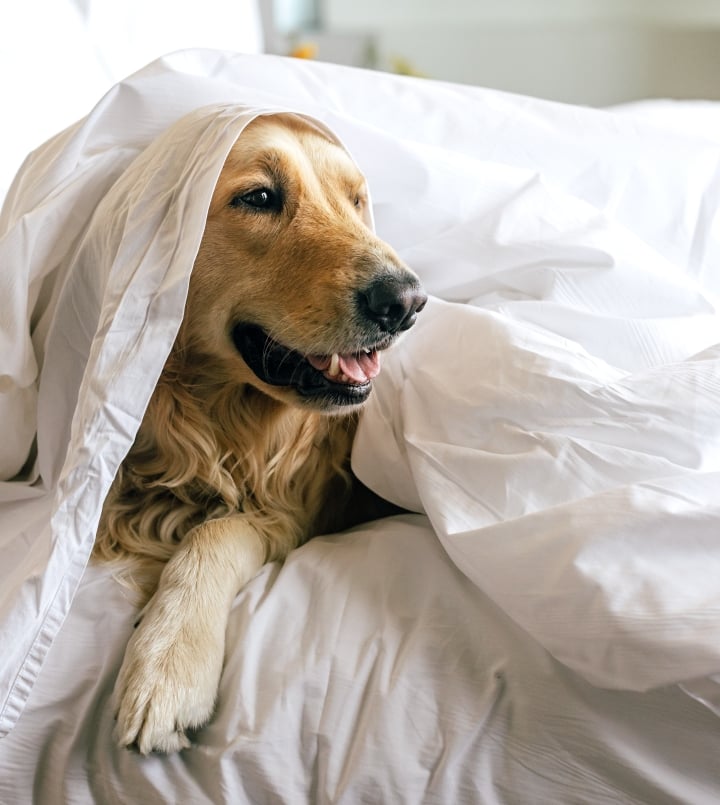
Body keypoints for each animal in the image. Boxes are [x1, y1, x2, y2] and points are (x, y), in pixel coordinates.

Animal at [92, 113, 424, 752]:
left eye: (356, 201)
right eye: (260, 198)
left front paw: (167, 663)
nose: (406, 302)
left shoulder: (297, 509)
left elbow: (216, 533)